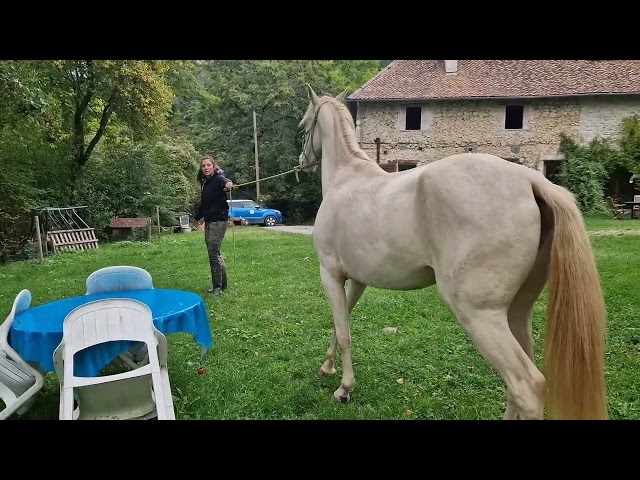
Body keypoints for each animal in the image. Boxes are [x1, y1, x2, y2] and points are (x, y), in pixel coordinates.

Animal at [297, 84, 608, 420]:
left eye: (304, 126)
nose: (302, 161)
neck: (346, 176)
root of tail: (532, 181)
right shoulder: (356, 280)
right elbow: (339, 324)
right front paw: (327, 368)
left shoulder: (329, 273)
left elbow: (343, 332)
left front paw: (343, 389)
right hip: (516, 311)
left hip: (479, 314)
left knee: (526, 385)